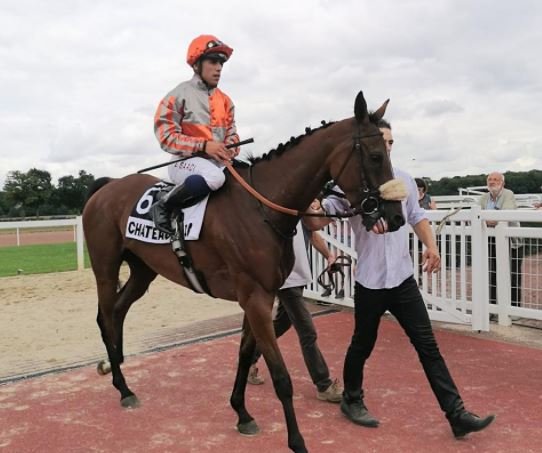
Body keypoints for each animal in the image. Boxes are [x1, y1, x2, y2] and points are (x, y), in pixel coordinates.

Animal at [82, 91, 405, 453]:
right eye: (376, 156)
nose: (396, 217)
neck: (262, 208)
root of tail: (107, 186)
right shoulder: (256, 299)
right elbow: (281, 376)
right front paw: (297, 441)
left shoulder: (259, 297)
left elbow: (244, 353)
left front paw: (242, 413)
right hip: (106, 267)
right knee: (105, 316)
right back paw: (123, 388)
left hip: (143, 270)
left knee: (118, 311)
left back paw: (117, 369)